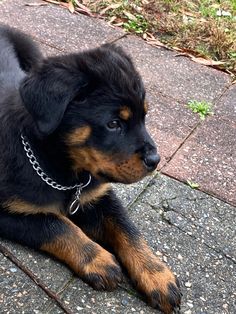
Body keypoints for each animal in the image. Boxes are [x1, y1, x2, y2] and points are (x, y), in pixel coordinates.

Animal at [0, 25, 181, 314]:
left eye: (144, 116)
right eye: (113, 123)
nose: (156, 160)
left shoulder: (99, 195)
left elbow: (128, 229)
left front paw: (156, 274)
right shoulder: (9, 211)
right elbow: (56, 224)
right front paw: (98, 259)